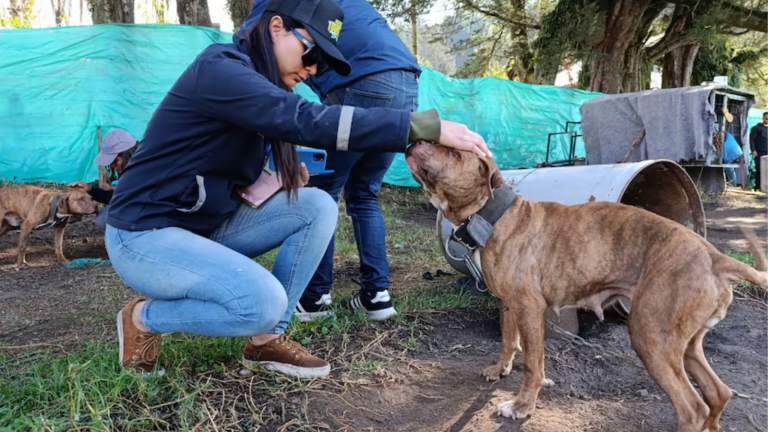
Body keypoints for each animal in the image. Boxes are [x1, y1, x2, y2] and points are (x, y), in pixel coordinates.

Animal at [404, 141, 764, 432]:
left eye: (452, 152)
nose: (414, 141)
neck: (494, 215)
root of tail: (716, 257)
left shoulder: (529, 308)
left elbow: (532, 364)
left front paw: (521, 407)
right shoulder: (508, 303)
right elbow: (508, 340)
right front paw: (500, 369)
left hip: (651, 337)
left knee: (692, 409)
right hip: (685, 344)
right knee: (718, 393)